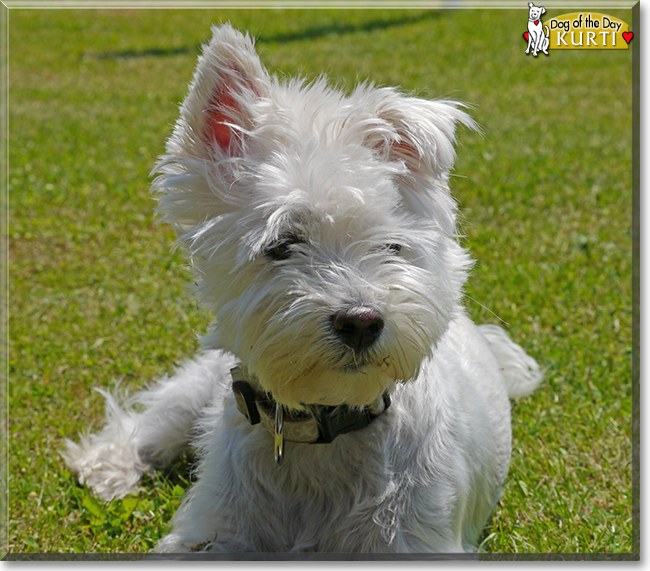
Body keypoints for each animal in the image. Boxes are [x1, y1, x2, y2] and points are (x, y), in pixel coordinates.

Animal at [66, 24, 540, 556]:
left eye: (392, 246)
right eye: (281, 244)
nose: (362, 322)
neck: (321, 431)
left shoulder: (414, 538)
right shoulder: (211, 530)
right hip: (202, 387)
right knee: (150, 419)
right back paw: (107, 468)